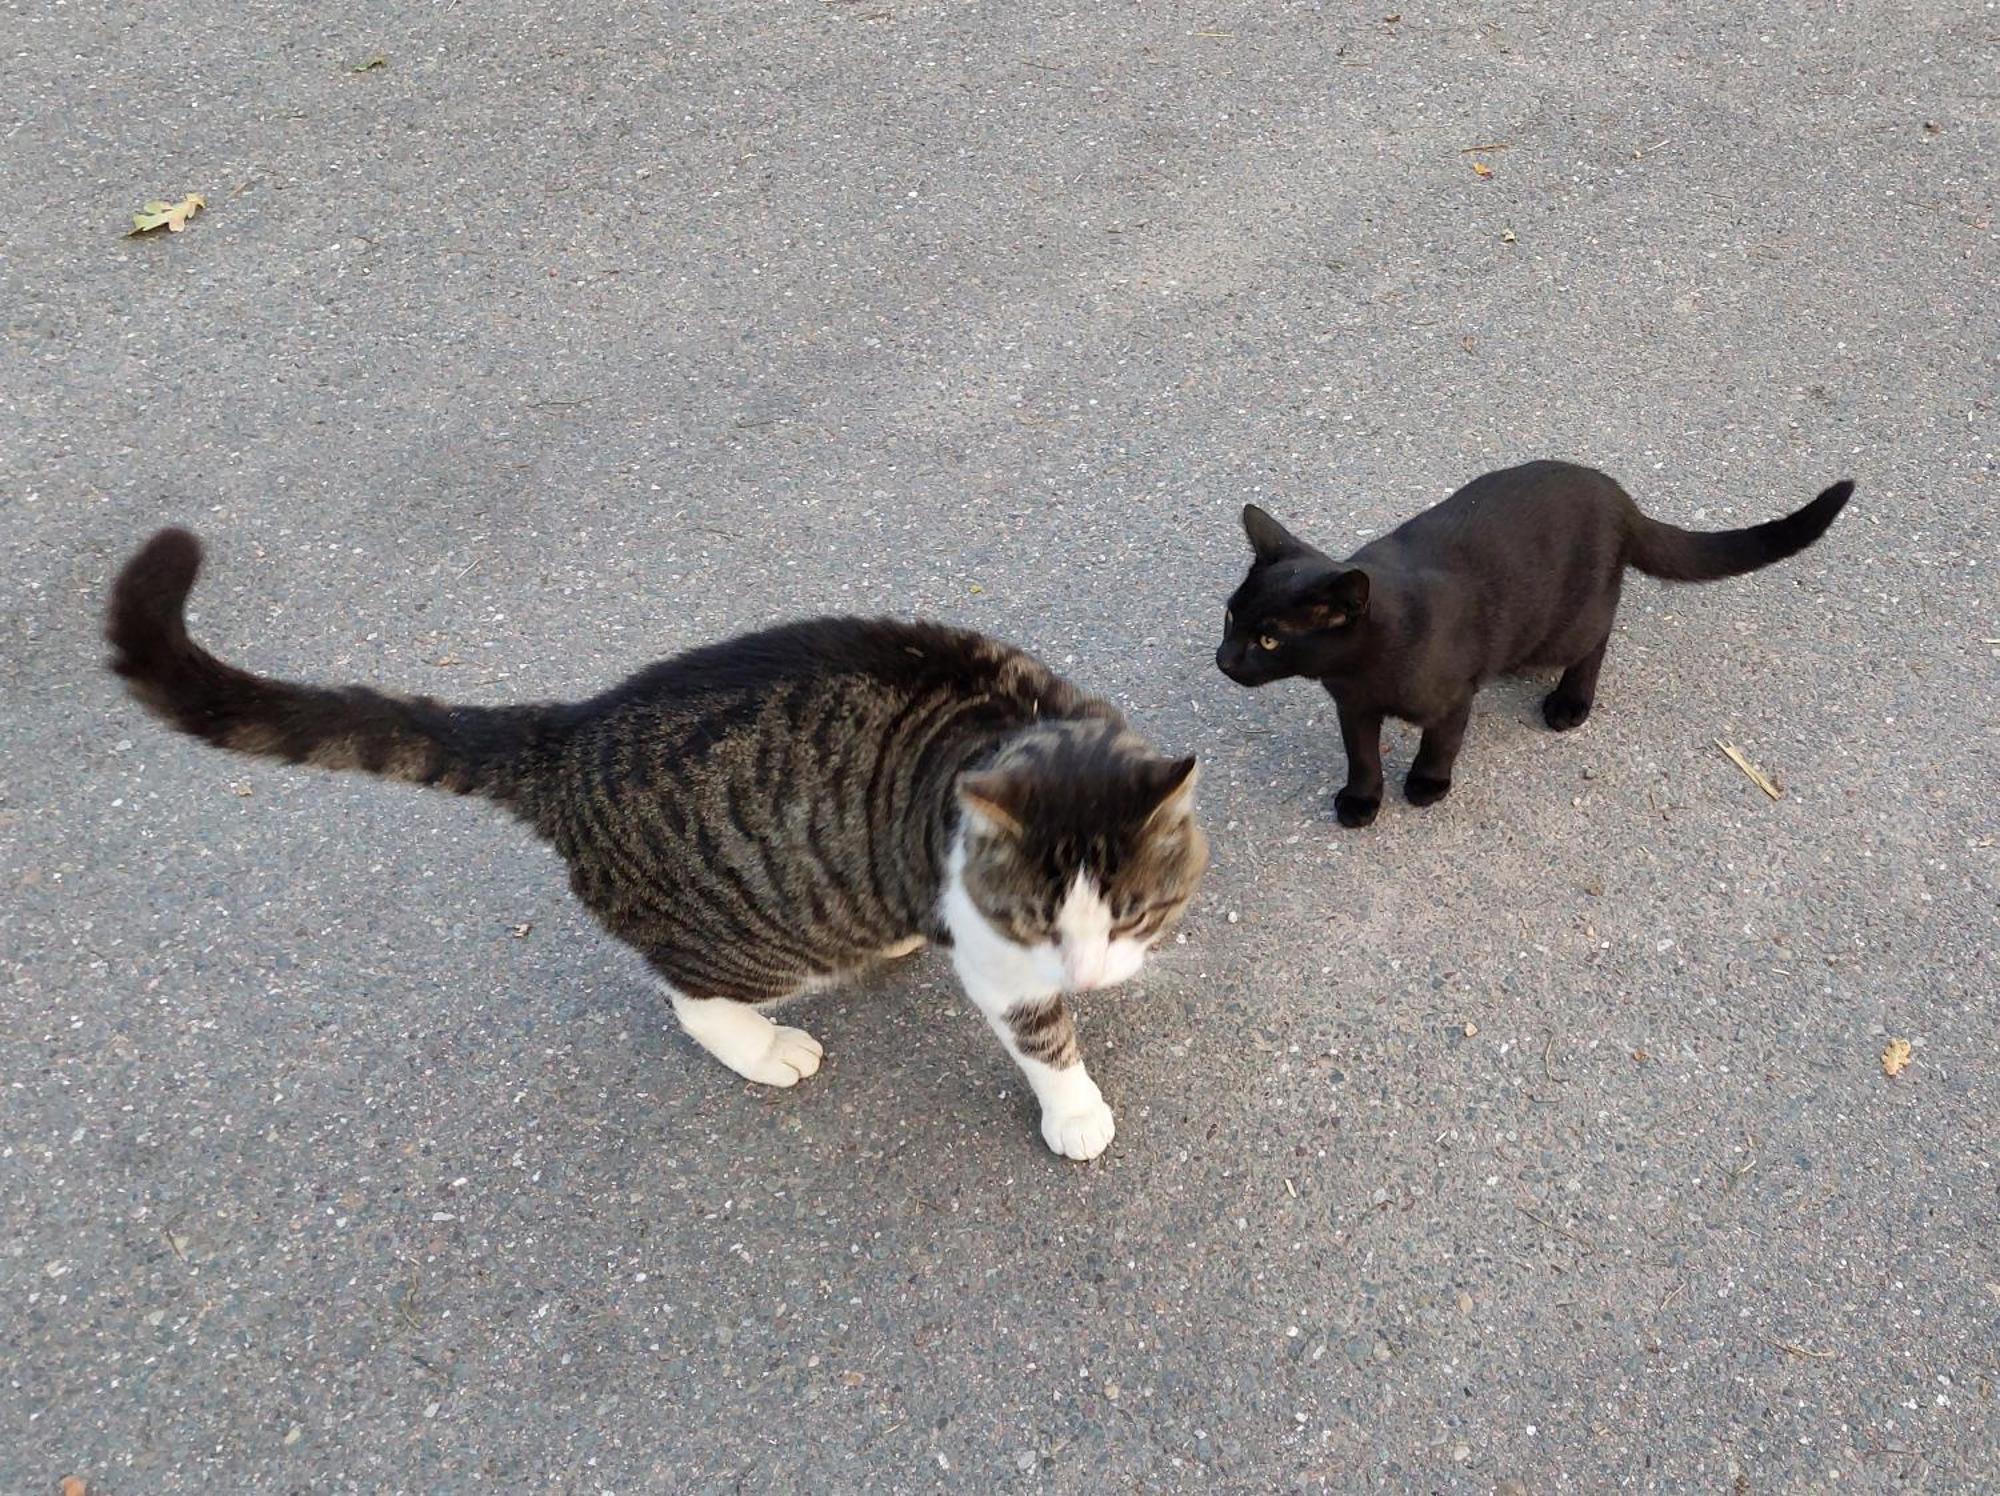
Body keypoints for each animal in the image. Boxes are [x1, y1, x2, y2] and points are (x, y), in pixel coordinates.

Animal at [109, 532, 1208, 1160]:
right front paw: (1074, 1109)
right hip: (753, 934)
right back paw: (761, 1044)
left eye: (1133, 913)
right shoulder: (996, 958)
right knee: (685, 995)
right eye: (1037, 921)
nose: (1093, 973)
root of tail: (566, 734)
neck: (1018, 723)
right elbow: (1040, 1036)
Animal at [1216, 458, 1856, 824]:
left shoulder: (1452, 700)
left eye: (1269, 641)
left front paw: (1426, 785)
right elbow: (1363, 756)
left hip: (1568, 624)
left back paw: (1570, 702)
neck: (1360, 670)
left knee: (1597, 638)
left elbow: (1440, 745)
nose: (1222, 661)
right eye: (1229, 619)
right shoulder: (1352, 708)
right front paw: (1361, 800)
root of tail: (1620, 497)